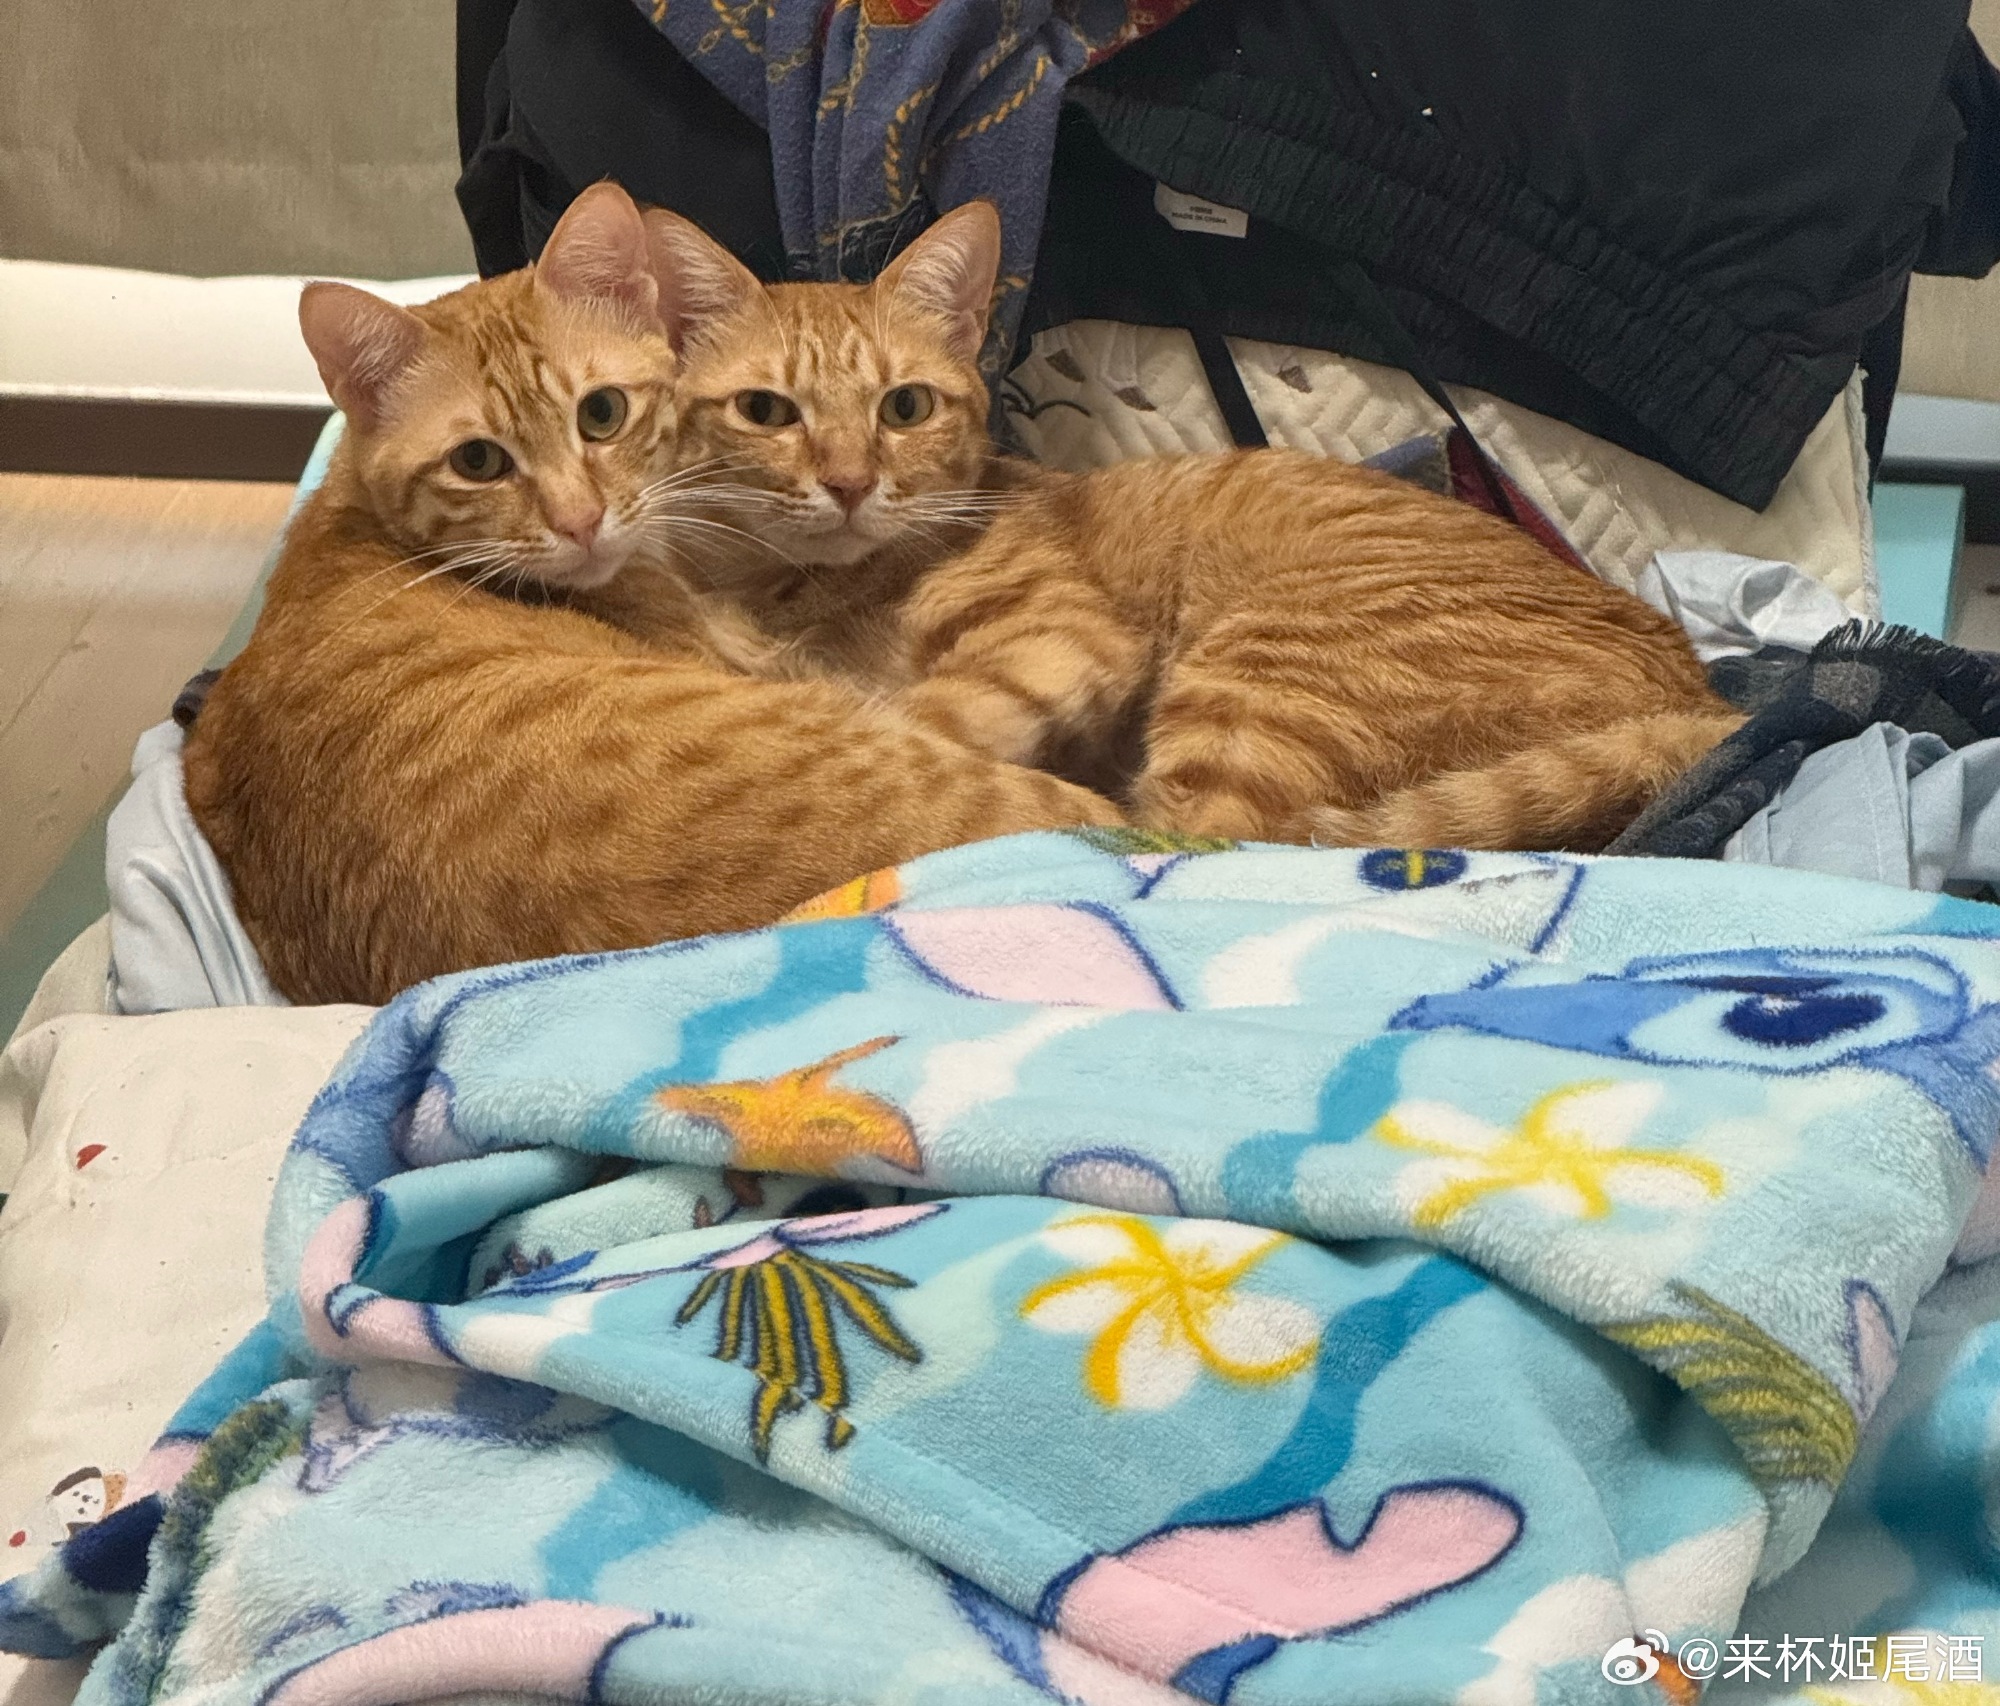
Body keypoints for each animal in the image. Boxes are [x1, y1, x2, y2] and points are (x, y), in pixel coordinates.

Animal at [638, 199, 1745, 849]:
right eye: (767, 412)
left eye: (904, 407)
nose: (848, 481)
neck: (805, 586)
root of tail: (1696, 695)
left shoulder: (1058, 636)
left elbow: (916, 724)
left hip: (1260, 676)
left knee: (1193, 843)